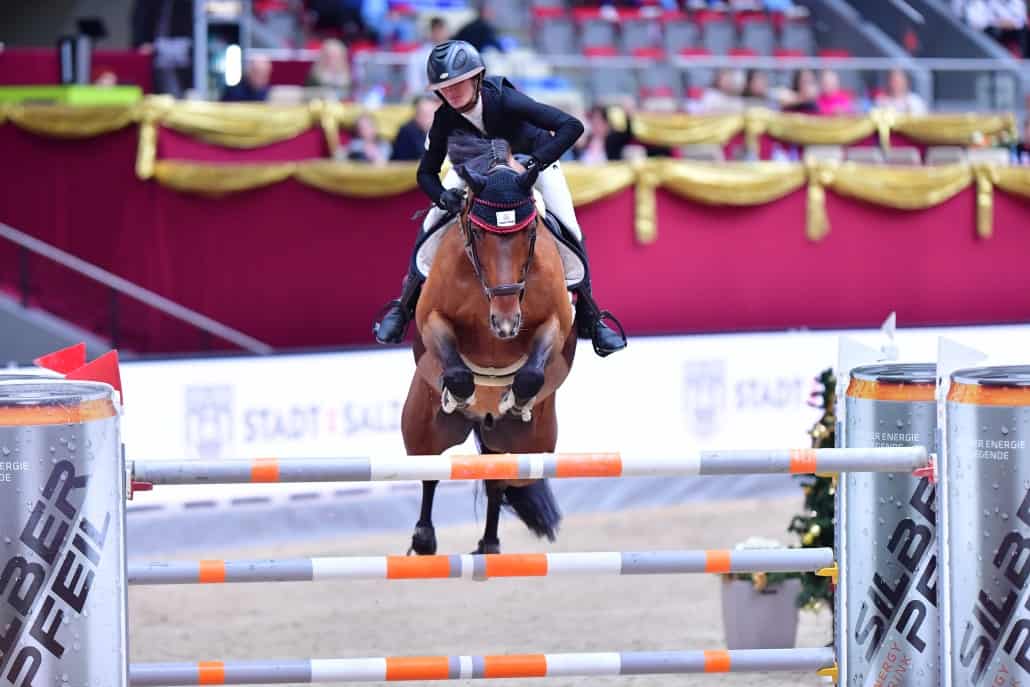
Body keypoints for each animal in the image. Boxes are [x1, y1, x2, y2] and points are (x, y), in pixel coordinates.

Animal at [401, 135, 577, 555]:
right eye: (480, 234)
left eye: (529, 235)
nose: (506, 323)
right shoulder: (432, 319)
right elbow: (457, 370)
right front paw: (460, 393)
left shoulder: (556, 323)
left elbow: (532, 373)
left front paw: (515, 399)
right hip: (421, 430)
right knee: (431, 470)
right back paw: (425, 538)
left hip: (530, 448)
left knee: (501, 478)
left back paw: (490, 544)